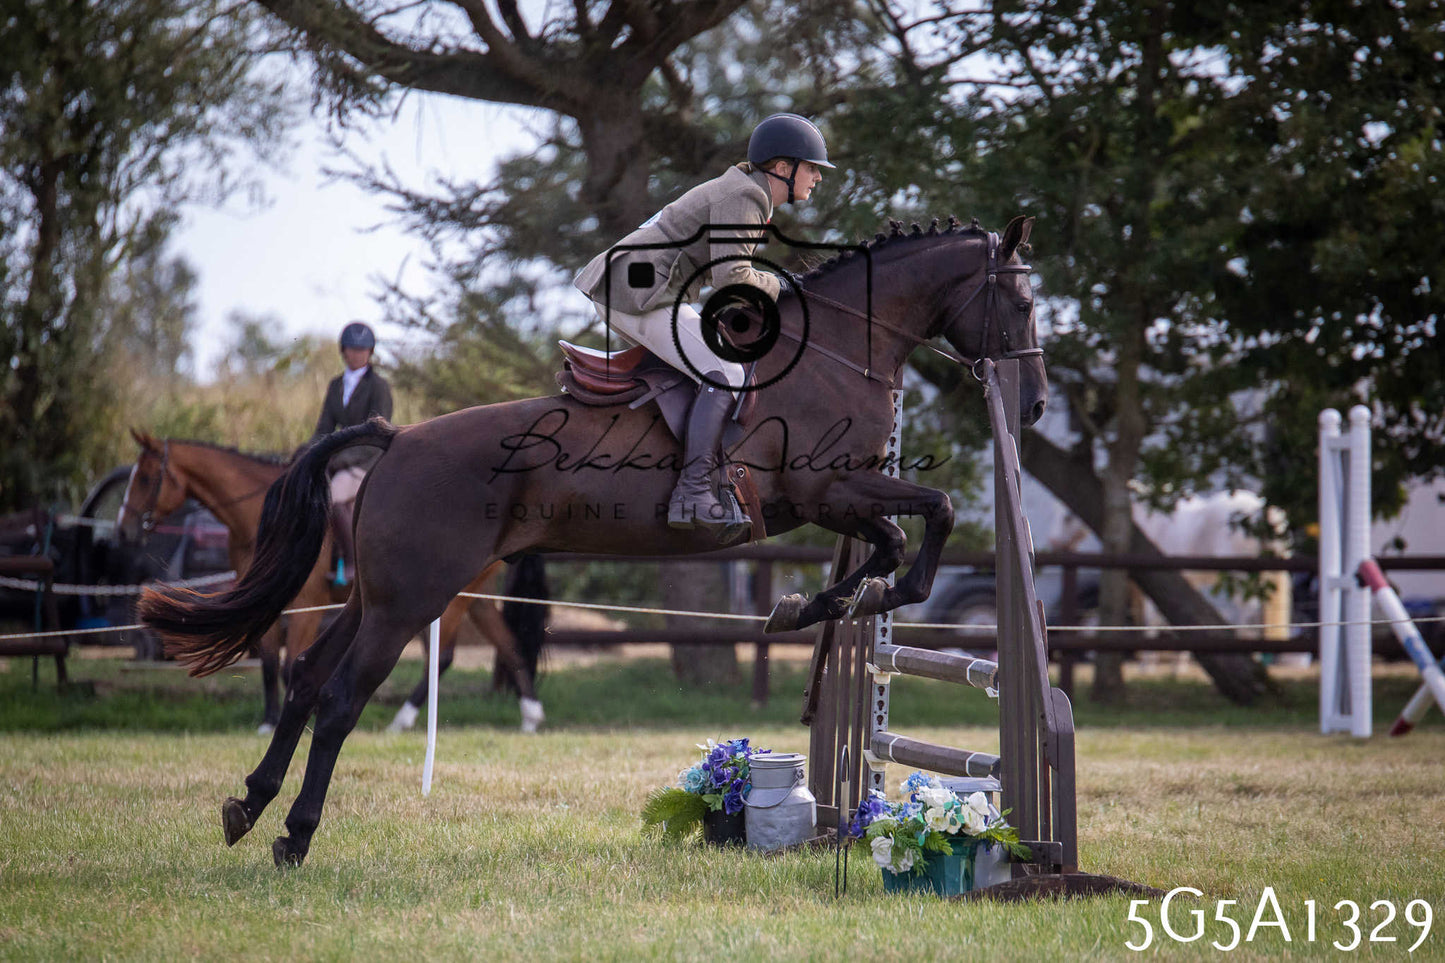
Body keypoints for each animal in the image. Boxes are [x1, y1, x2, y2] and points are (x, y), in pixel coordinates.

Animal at [117, 434, 548, 732]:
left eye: (147, 478)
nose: (124, 531)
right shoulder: (271, 604)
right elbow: (270, 663)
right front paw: (269, 722)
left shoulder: (306, 603)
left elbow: (290, 663)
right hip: (471, 597)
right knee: (507, 642)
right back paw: (530, 715)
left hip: (444, 599)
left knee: (441, 658)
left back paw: (402, 721)